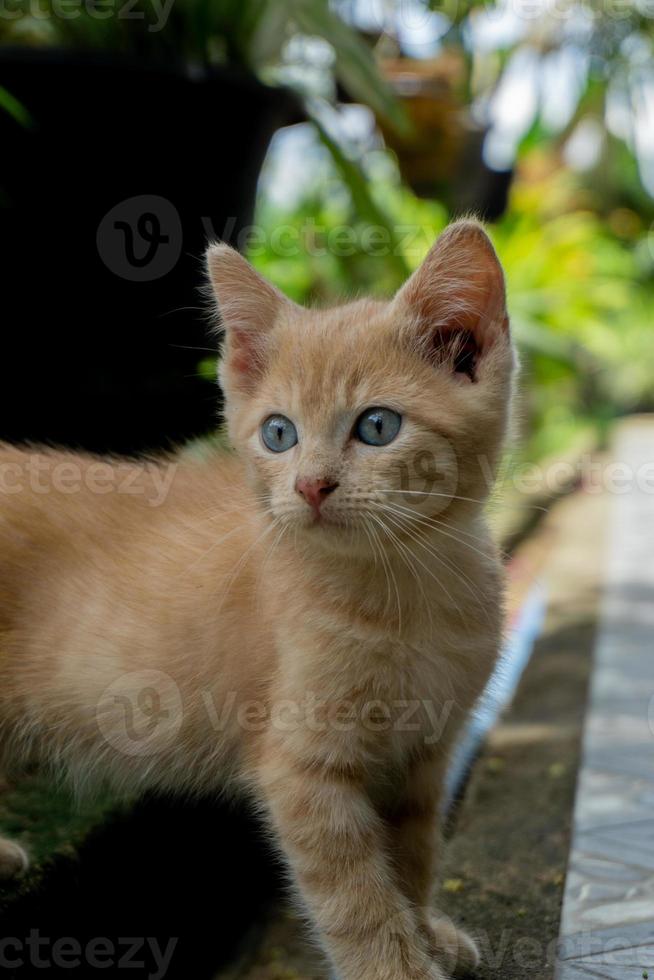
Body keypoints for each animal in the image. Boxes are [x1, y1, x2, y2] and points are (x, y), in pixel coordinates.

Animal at [0, 222, 516, 980]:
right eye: (279, 434)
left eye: (378, 426)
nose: (310, 486)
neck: (406, 589)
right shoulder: (301, 766)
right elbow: (354, 894)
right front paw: (395, 966)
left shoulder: (425, 751)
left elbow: (415, 854)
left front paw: (427, 931)